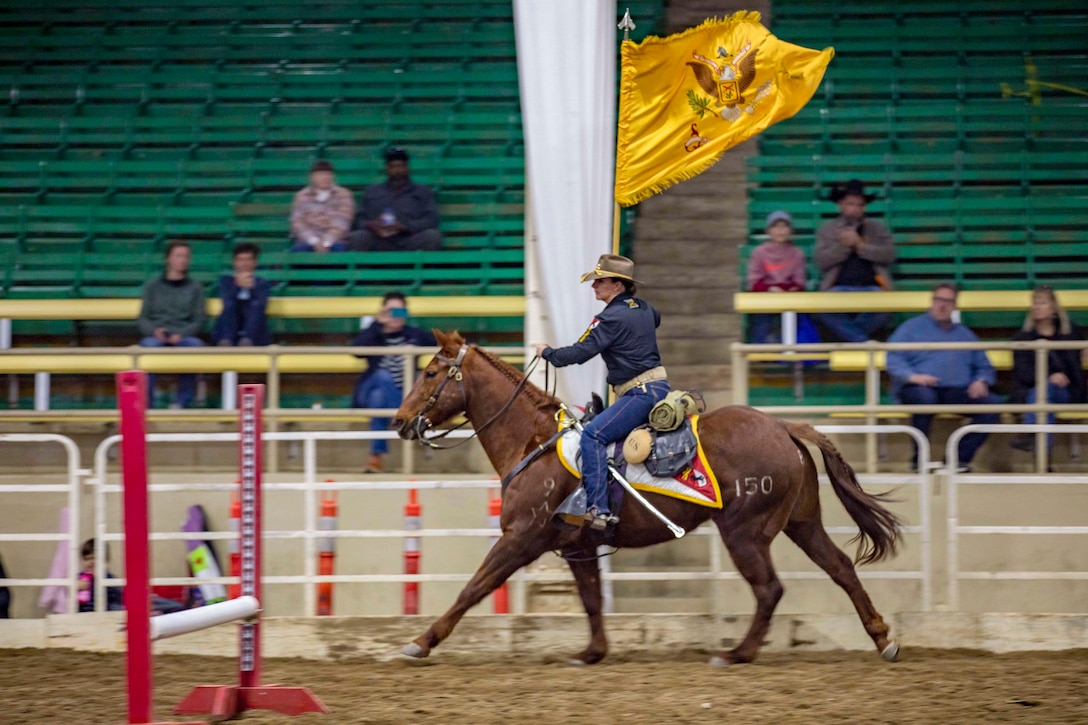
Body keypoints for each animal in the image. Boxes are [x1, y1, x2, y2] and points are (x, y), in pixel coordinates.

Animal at [391, 330, 900, 661]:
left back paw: (738, 653)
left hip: (746, 532)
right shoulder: (577, 546)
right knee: (840, 567)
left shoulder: (520, 538)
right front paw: (593, 652)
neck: (532, 442)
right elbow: (591, 599)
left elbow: (473, 588)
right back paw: (883, 638)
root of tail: (783, 426)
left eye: (432, 371)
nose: (399, 421)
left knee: (769, 589)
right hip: (802, 522)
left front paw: (420, 642)